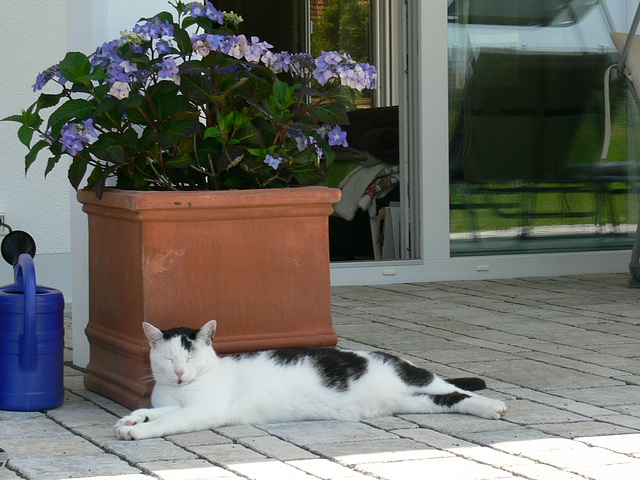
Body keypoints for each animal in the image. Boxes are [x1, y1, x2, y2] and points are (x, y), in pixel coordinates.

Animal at [114, 320, 504, 440]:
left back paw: (494, 405)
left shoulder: (205, 410)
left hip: (420, 379)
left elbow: (170, 421)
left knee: (457, 388)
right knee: (452, 400)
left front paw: (139, 430)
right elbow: (157, 412)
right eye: (169, 359)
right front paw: (132, 419)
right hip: (414, 402)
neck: (181, 390)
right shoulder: (172, 403)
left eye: (190, 356)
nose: (181, 372)